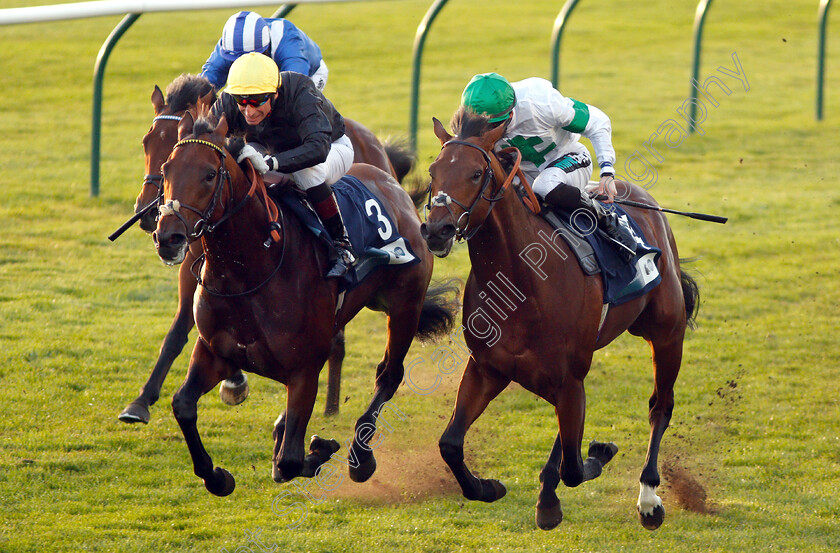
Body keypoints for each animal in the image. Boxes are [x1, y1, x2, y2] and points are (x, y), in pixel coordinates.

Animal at [119, 74, 416, 422]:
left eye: (209, 175)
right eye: (148, 143)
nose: (156, 222)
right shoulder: (195, 274)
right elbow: (178, 332)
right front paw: (141, 402)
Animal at [149, 112, 452, 496]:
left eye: (208, 174)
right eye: (167, 169)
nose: (168, 237)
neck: (251, 271)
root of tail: (395, 188)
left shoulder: (305, 368)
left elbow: (290, 461)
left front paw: (320, 446)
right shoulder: (215, 350)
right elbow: (184, 405)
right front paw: (217, 476)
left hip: (404, 306)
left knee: (389, 375)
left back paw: (360, 457)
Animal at [420, 109, 704, 532]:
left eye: (475, 173)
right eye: (433, 170)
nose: (436, 229)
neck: (520, 280)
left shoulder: (568, 377)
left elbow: (574, 466)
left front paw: (598, 454)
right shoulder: (488, 368)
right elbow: (450, 444)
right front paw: (489, 487)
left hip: (666, 333)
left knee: (660, 406)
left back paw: (649, 498)